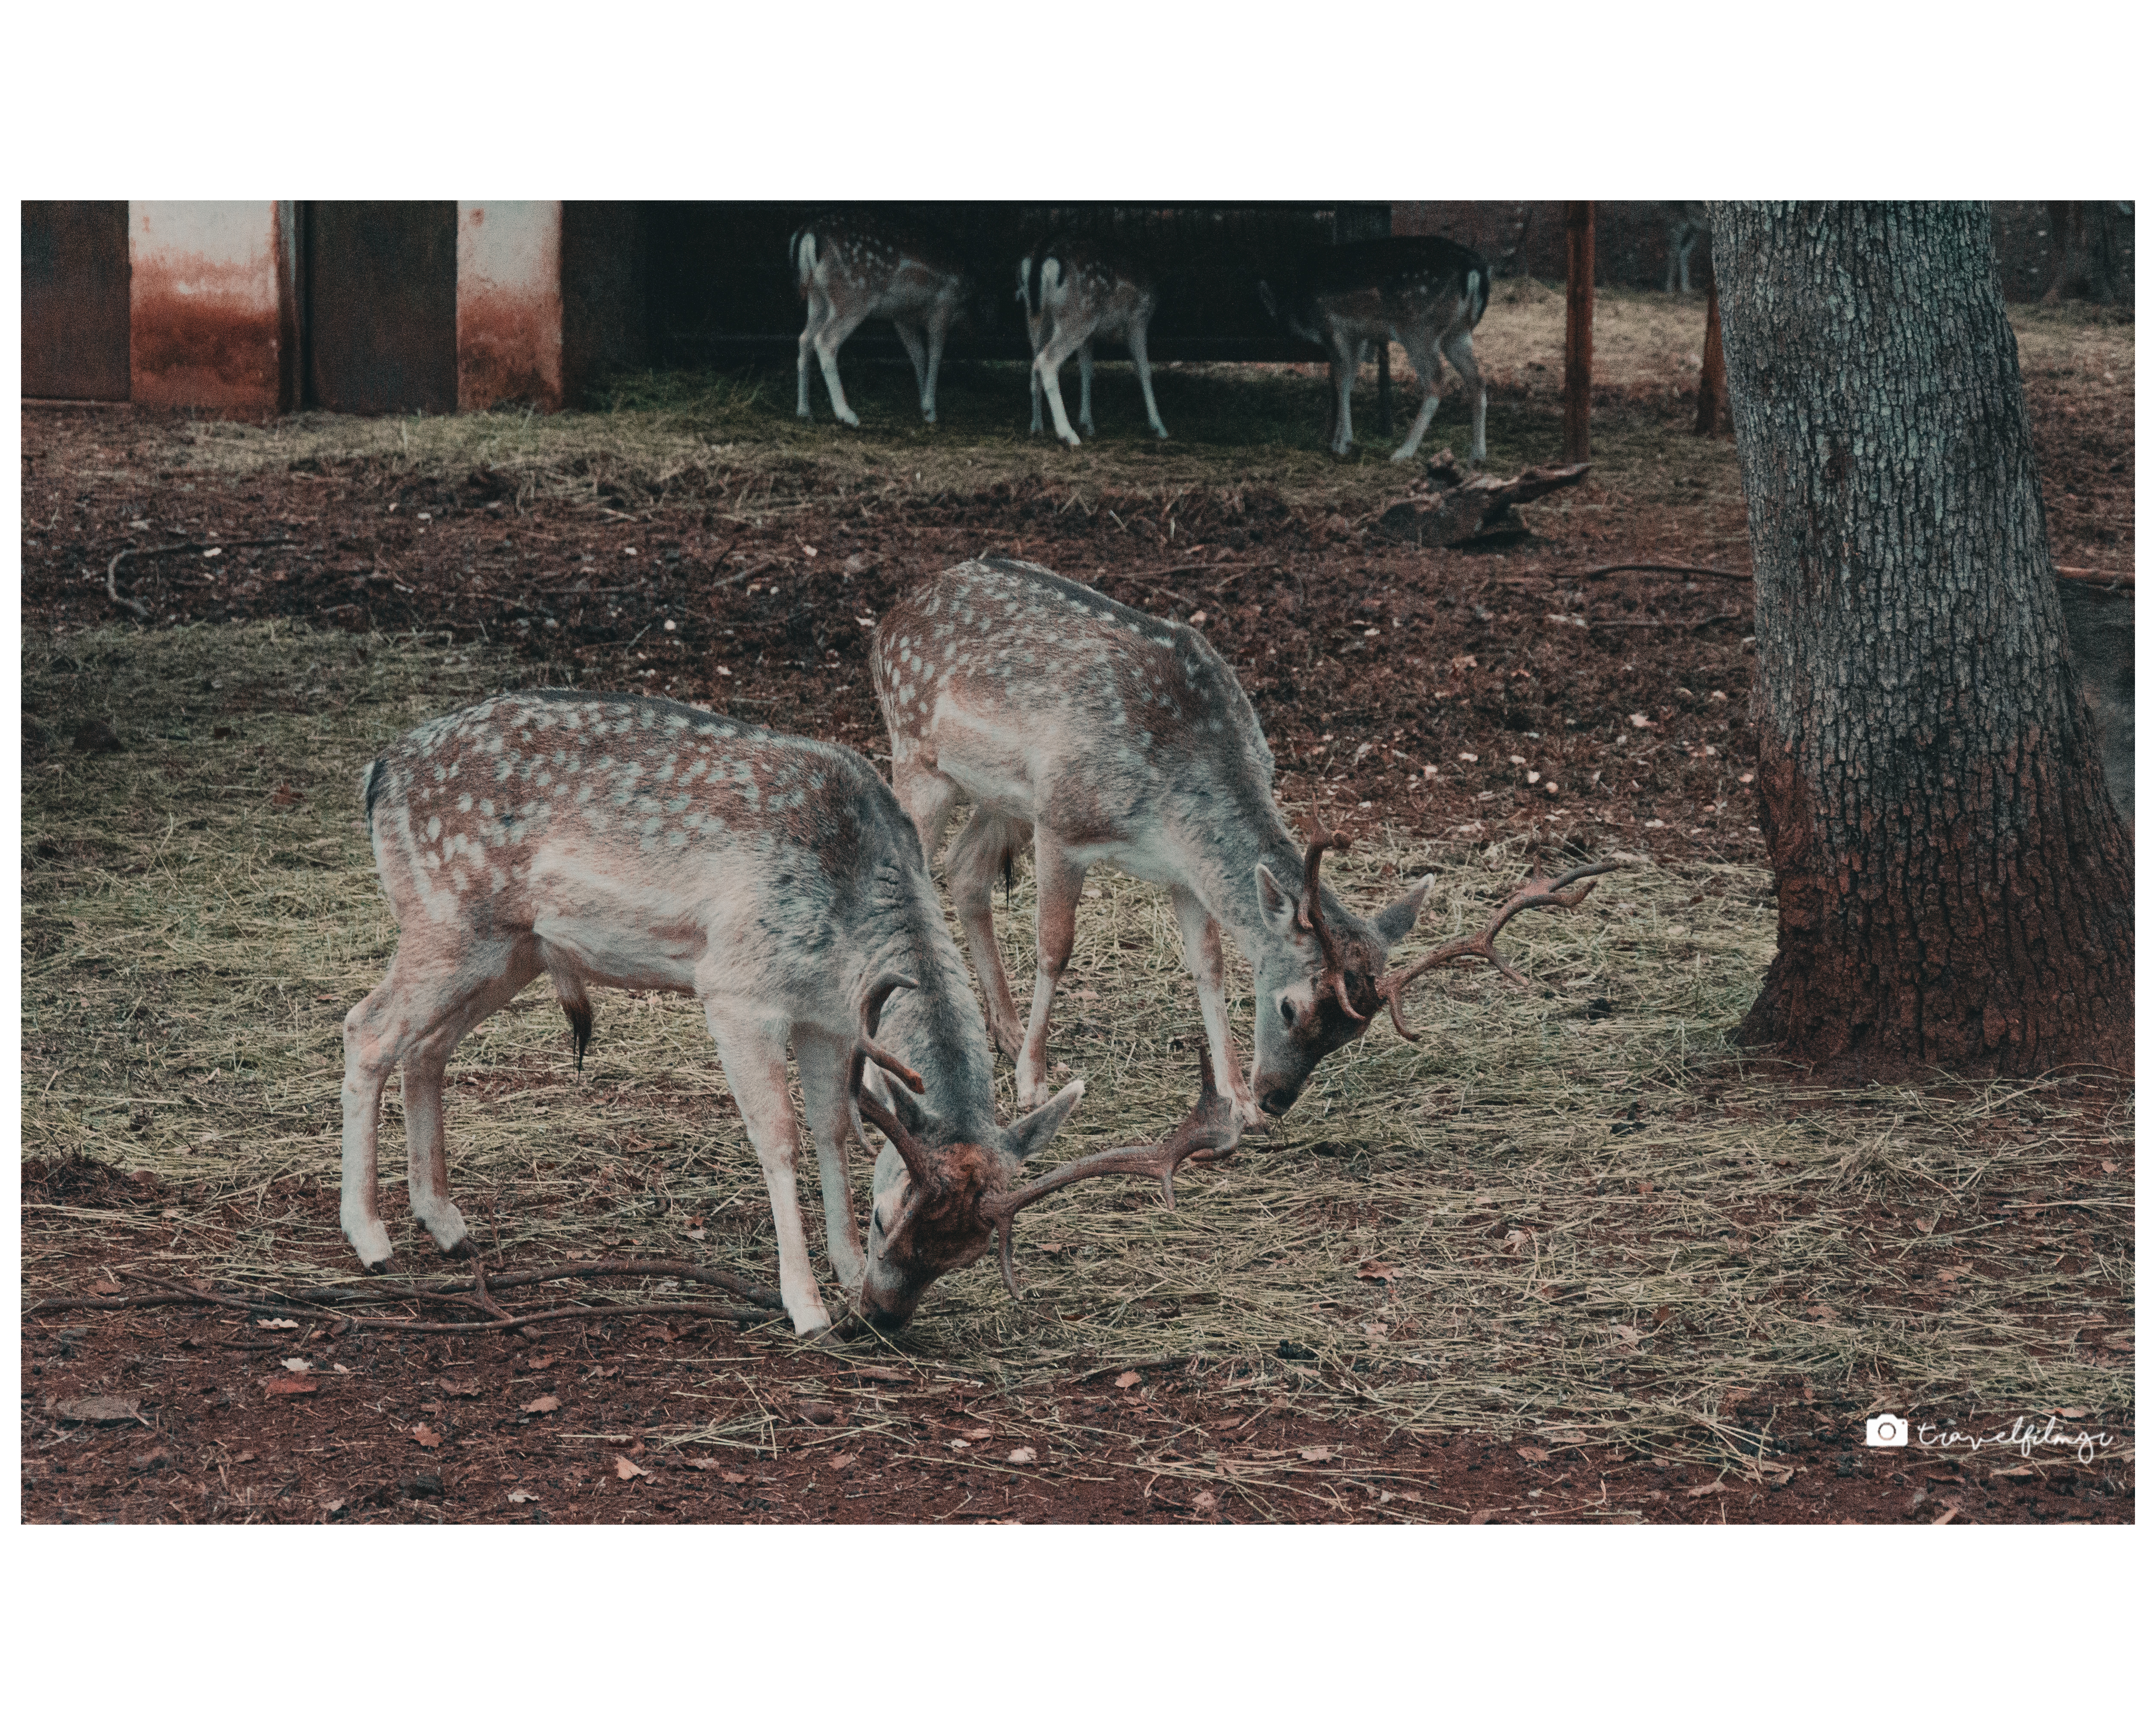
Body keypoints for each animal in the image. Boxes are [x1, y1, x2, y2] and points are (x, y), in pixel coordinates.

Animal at [340, 689, 1229, 1335]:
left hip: (512, 947)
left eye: (969, 1254)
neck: (845, 917)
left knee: (427, 1048)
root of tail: (377, 772)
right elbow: (779, 1139)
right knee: (367, 1028)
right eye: (886, 1216)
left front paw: (840, 1271)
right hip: (447, 919)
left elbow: (835, 1126)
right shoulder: (736, 991)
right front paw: (804, 1304)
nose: (884, 1318)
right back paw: (372, 1239)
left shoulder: (829, 1018)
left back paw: (445, 1221)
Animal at [792, 211, 975, 429]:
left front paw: (924, 407)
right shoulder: (944, 305)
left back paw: (804, 411)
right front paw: (931, 410)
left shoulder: (901, 317)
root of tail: (810, 233)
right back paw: (848, 415)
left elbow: (918, 355)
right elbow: (935, 355)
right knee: (825, 341)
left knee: (805, 339)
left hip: (817, 298)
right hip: (854, 296)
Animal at [872, 556, 1613, 1148]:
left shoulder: (1181, 872)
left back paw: (993, 1031)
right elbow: (1056, 948)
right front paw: (1033, 1080)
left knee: (964, 871)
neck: (1167, 802)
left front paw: (1232, 1098)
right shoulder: (1063, 822)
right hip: (917, 751)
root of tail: (893, 613)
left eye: (1351, 1033)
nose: (1277, 1098)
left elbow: (1209, 966)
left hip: (998, 797)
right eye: (1288, 1007)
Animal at [1018, 236, 1168, 446]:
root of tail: (1042, 256)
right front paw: (1159, 427)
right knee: (1047, 361)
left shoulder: (1089, 337)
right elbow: (1144, 370)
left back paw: (1036, 426)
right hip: (1080, 316)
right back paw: (1068, 434)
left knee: (1035, 363)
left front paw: (1087, 424)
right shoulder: (1138, 319)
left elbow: (1087, 371)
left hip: (1036, 318)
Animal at [1258, 236, 1490, 464]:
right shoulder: (1358, 337)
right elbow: (1348, 381)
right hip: (1458, 333)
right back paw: (1477, 455)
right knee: (1477, 381)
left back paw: (1403, 452)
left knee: (1436, 382)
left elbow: (1340, 381)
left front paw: (1341, 444)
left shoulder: (1334, 330)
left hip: (1419, 330)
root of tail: (1475, 269)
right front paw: (1340, 441)